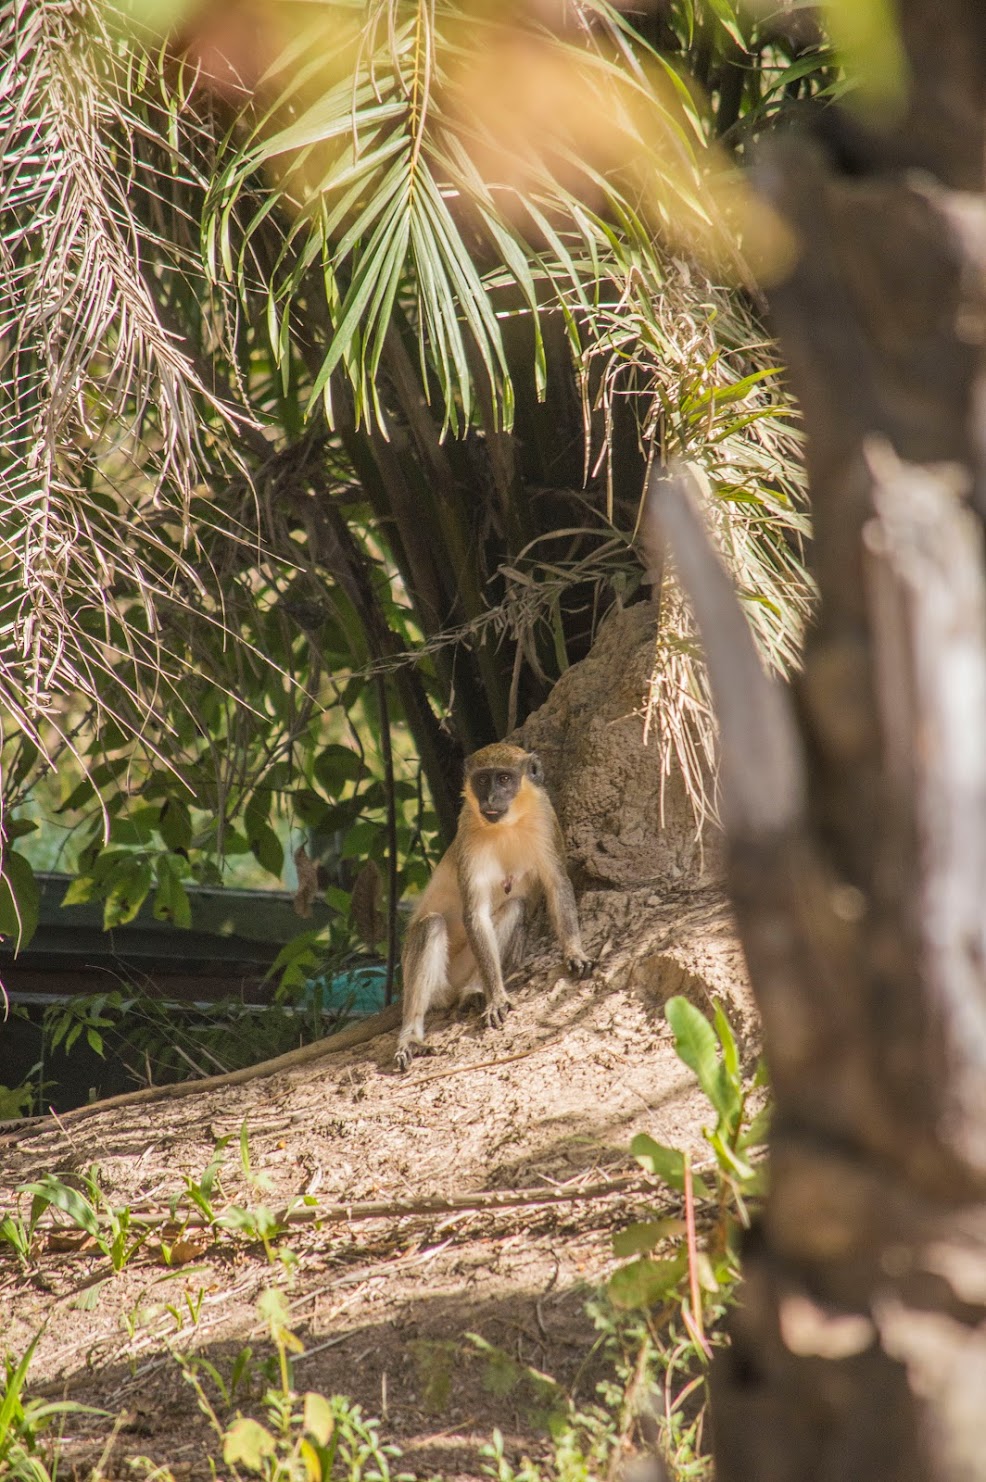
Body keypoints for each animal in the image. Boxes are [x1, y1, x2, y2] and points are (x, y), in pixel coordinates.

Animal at [394, 746, 593, 1072]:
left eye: (504, 779)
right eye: (482, 780)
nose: (490, 799)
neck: (507, 825)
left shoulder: (545, 816)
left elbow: (557, 884)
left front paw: (574, 952)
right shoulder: (467, 831)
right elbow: (475, 913)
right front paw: (497, 998)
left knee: (514, 907)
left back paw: (474, 990)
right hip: (439, 981)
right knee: (431, 925)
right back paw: (411, 1034)